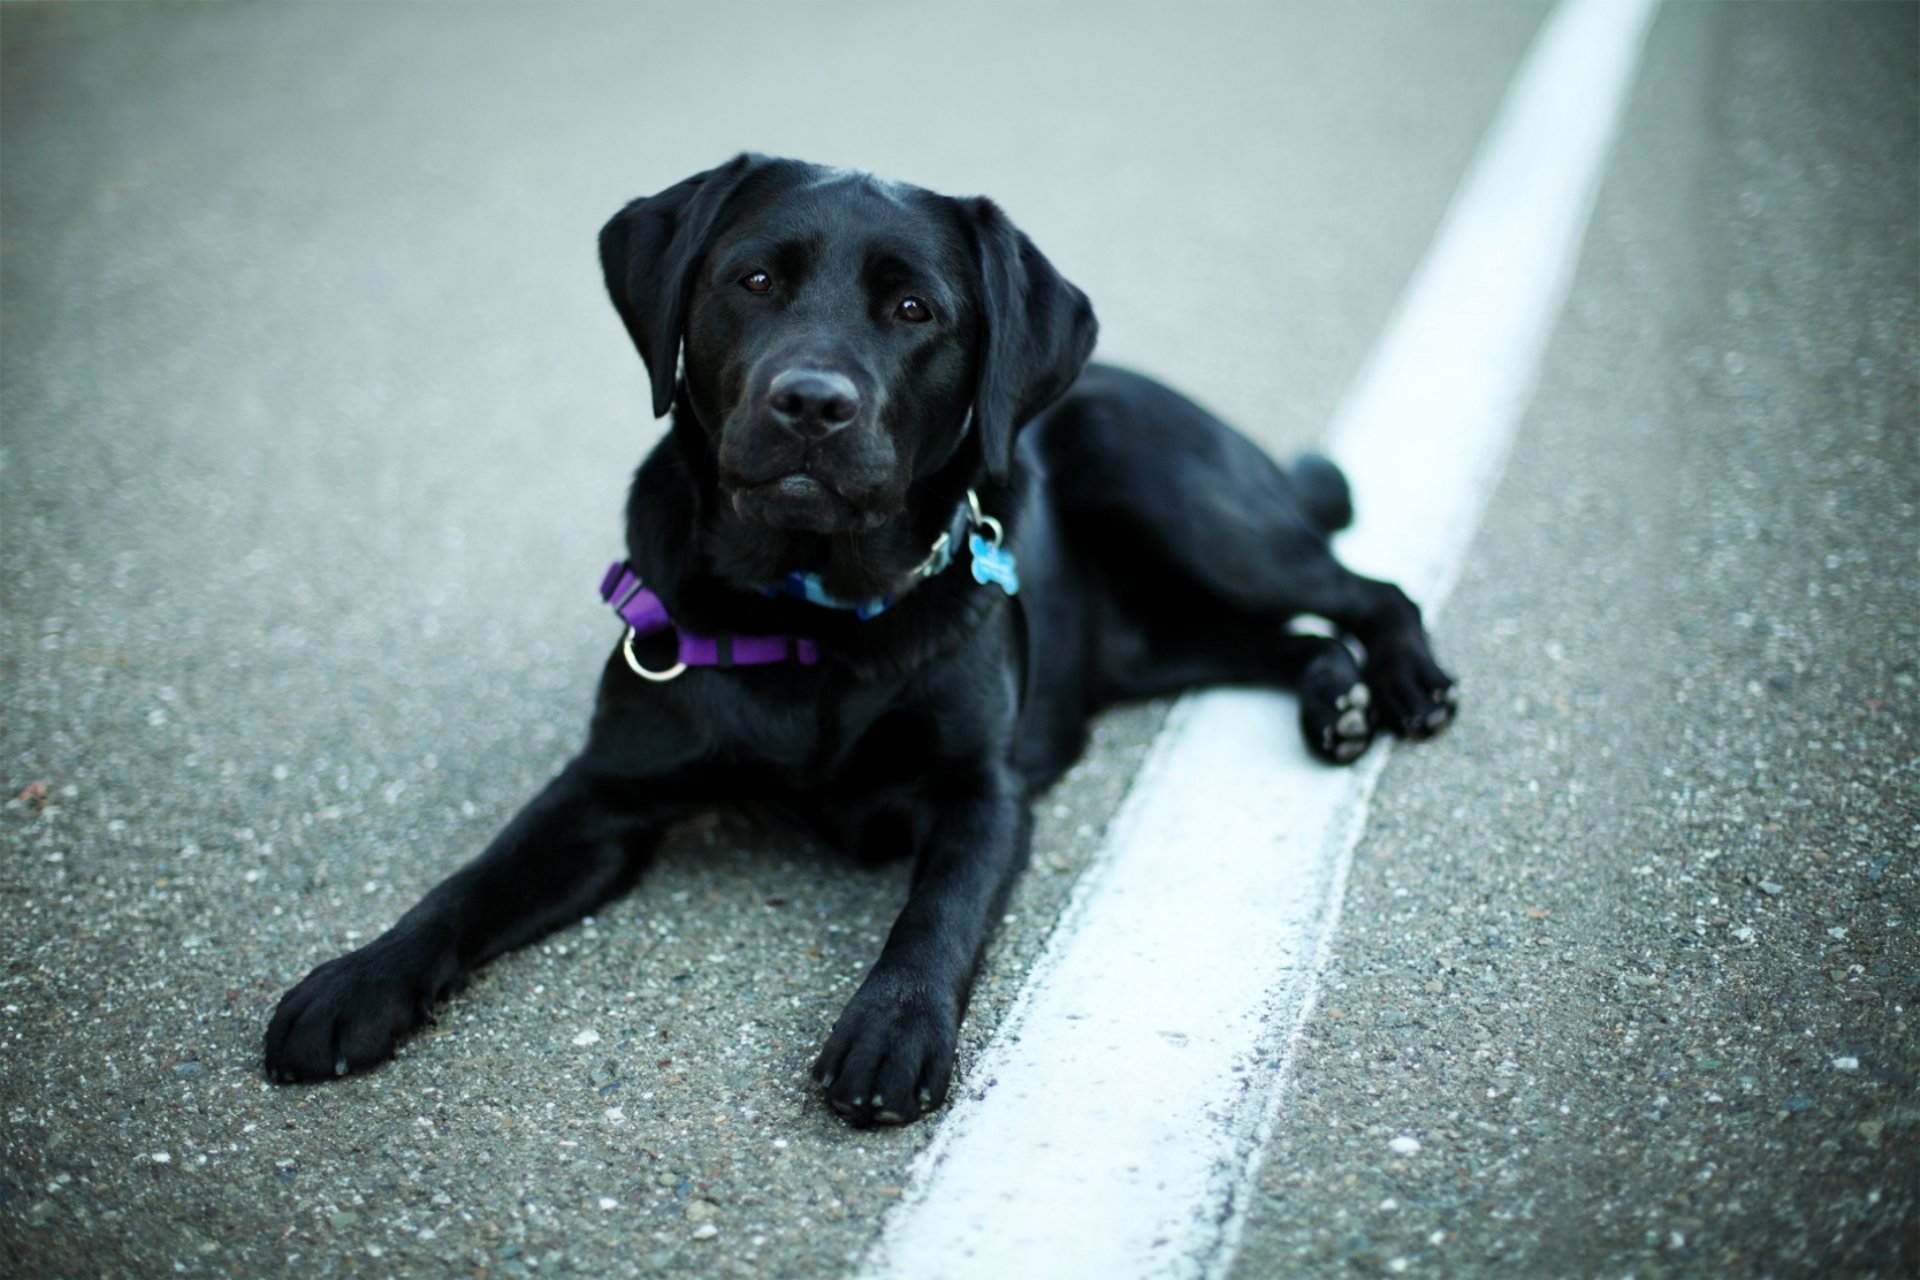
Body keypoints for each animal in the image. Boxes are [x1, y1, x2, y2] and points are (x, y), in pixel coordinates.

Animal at [259, 155, 1451, 1128]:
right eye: (751, 282)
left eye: (917, 308)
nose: (813, 403)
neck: (810, 615)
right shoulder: (603, 791)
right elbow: (471, 880)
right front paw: (358, 980)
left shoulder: (984, 791)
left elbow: (938, 911)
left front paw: (892, 1029)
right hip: (1155, 636)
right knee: (1279, 638)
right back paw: (1335, 699)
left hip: (1170, 486)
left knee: (1364, 588)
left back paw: (1404, 682)